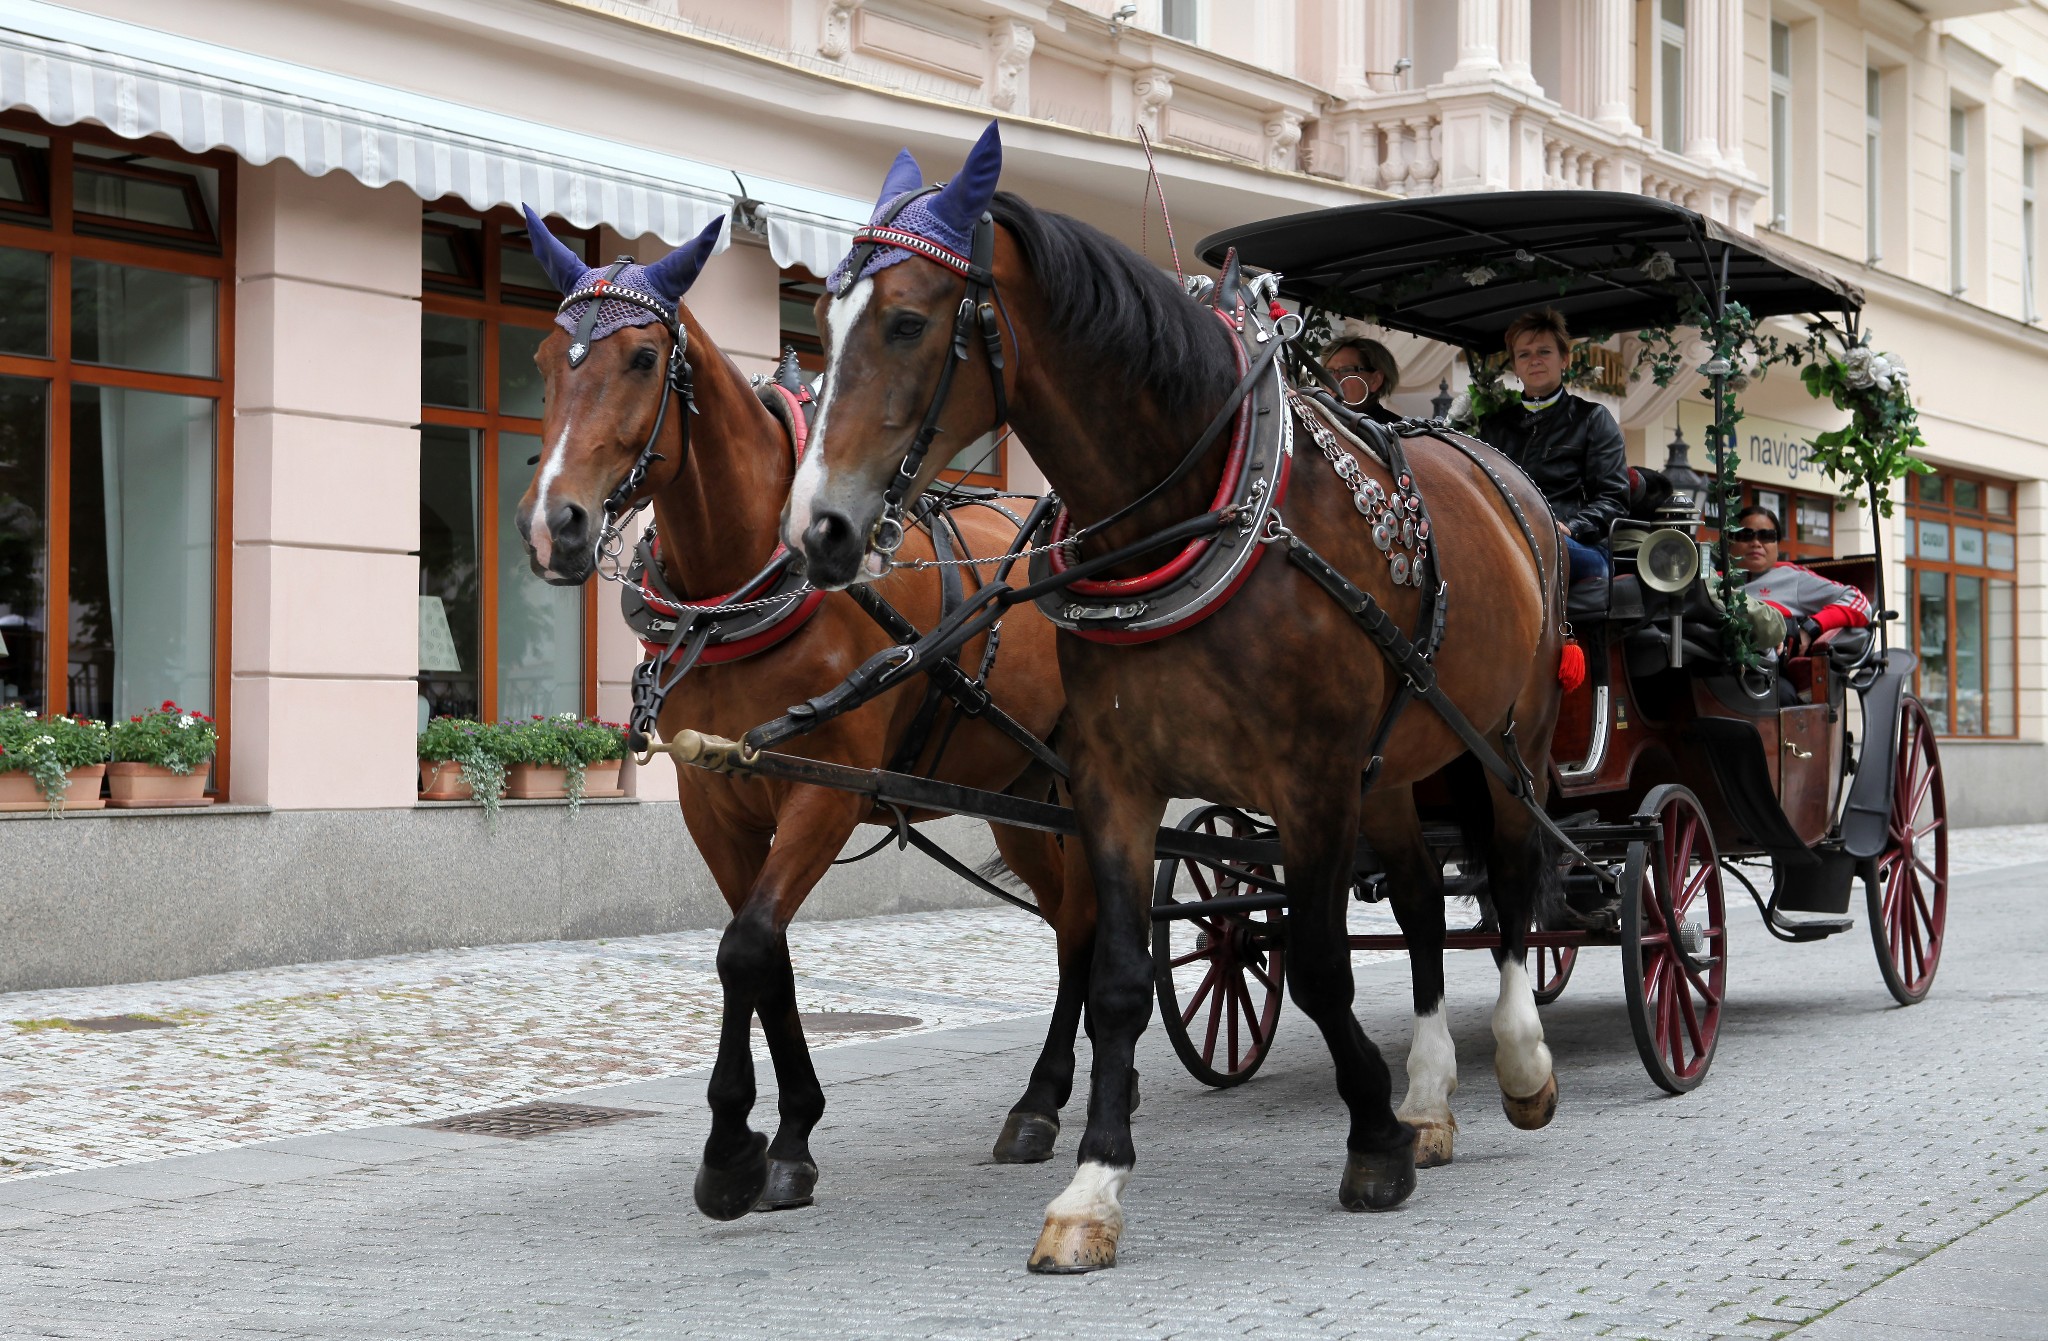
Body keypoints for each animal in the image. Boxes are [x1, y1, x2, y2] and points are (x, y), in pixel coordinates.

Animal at [509, 204, 1097, 1220]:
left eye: (640, 358)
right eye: (546, 359)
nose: (557, 526)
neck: (745, 584)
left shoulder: (822, 793)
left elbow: (745, 947)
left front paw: (734, 1147)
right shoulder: (717, 799)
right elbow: (767, 955)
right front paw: (786, 1135)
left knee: (1093, 917)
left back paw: (1056, 1093)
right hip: (1018, 796)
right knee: (1068, 922)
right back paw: (1043, 1097)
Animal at [782, 131, 1564, 1277]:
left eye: (907, 322)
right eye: (824, 321)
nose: (818, 531)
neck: (1201, 514)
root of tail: (1504, 475)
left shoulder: (1309, 780)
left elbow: (1321, 968)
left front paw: (1371, 1143)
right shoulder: (1118, 779)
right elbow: (1117, 979)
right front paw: (1091, 1189)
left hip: (1506, 741)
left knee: (1510, 887)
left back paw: (1517, 1063)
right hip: (1394, 764)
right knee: (1425, 901)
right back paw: (1427, 1096)